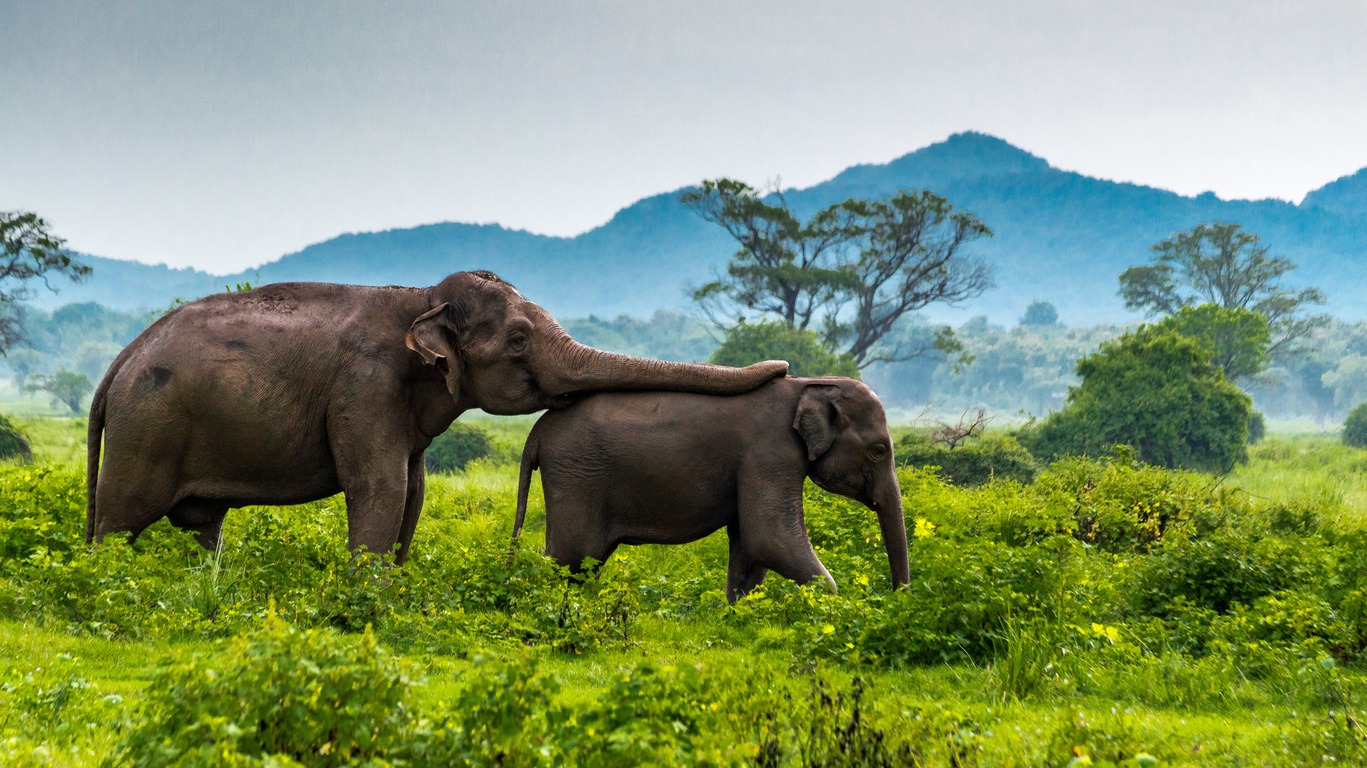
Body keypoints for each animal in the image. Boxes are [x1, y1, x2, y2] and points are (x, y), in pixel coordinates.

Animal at [85, 271, 787, 560]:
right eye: (518, 340)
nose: (781, 369)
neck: (420, 296)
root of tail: (118, 364)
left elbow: (414, 493)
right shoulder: (365, 387)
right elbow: (380, 488)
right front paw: (367, 599)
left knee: (203, 528)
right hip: (147, 429)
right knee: (120, 520)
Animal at [513, 374, 907, 601]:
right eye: (879, 450)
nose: (897, 598)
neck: (807, 384)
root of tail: (536, 432)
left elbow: (749, 546)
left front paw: (739, 613)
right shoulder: (770, 452)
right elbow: (768, 537)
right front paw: (831, 607)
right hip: (576, 476)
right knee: (570, 557)